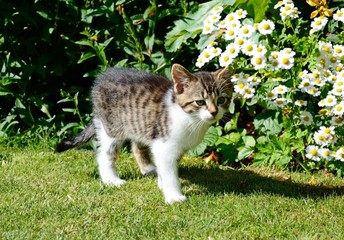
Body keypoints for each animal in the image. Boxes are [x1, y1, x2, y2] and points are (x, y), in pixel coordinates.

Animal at [56, 64, 232, 204]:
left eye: (221, 100)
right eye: (200, 102)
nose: (214, 112)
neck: (190, 119)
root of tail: (102, 78)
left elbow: (166, 167)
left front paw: (161, 182)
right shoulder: (164, 144)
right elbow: (170, 173)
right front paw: (173, 196)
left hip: (139, 124)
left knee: (136, 145)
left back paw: (147, 168)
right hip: (112, 128)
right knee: (104, 154)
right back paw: (111, 180)